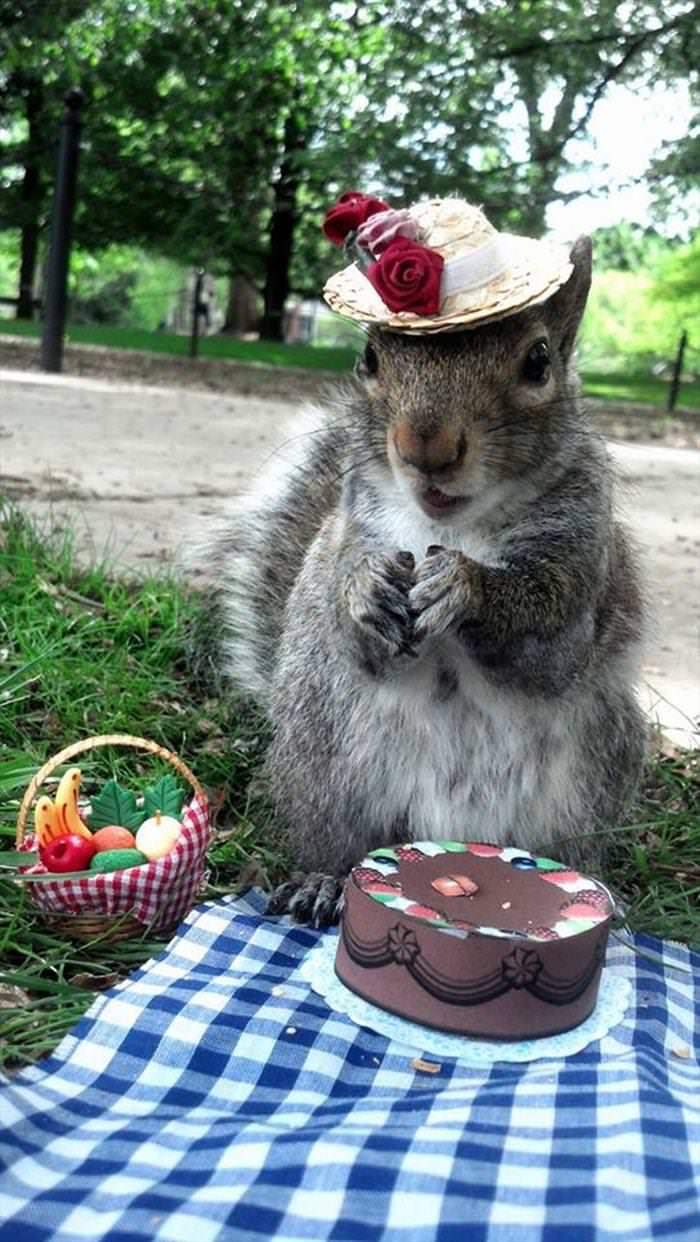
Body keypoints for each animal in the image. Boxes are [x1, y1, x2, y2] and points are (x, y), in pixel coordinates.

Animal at [199, 206, 650, 924]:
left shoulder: (581, 579)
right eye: (369, 357)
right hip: (326, 764)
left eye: (539, 360)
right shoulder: (350, 533)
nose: (426, 445)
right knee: (337, 844)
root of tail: (448, 831)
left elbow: (543, 649)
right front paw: (364, 594)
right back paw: (321, 882)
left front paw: (466, 588)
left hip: (590, 779)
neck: (453, 526)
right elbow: (352, 620)